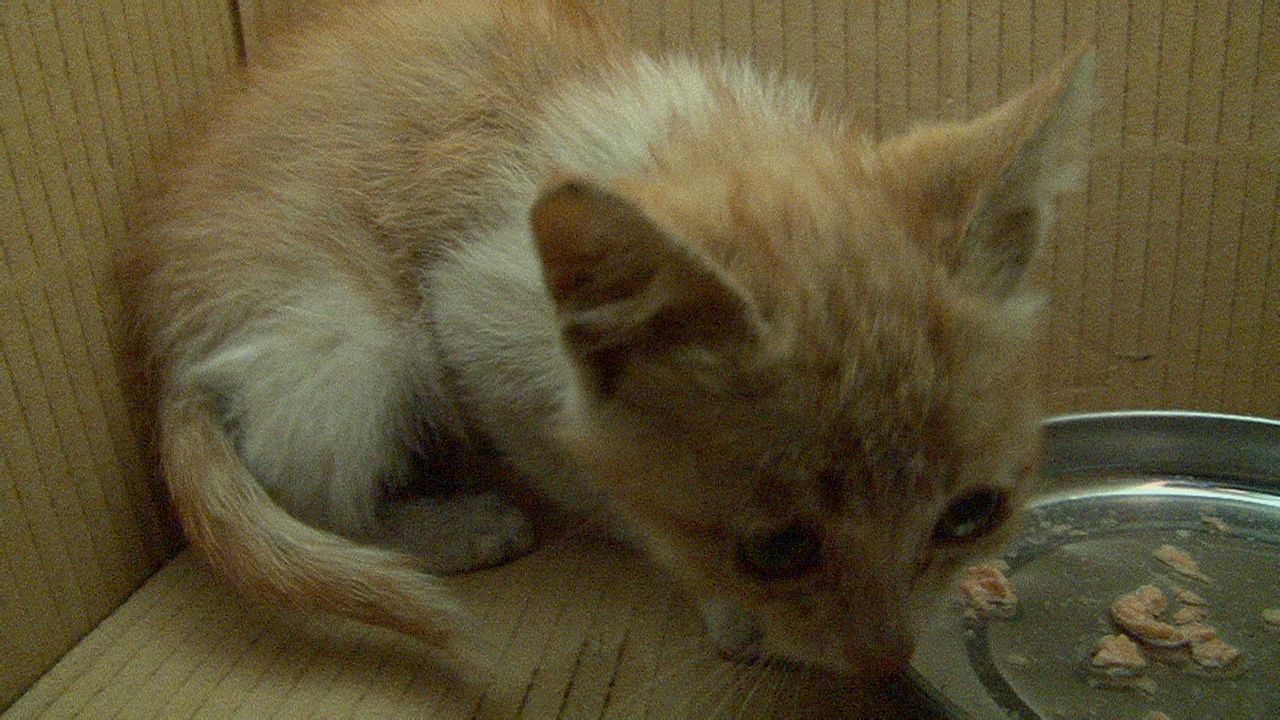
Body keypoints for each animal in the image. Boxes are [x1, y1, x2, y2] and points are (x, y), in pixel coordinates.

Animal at [125, 0, 1097, 678]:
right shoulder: (472, 330)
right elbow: (595, 480)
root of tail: (168, 341)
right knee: (311, 480)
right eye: (777, 550)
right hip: (350, 331)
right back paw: (455, 527)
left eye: (971, 512)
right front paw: (732, 612)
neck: (704, 145)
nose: (888, 659)